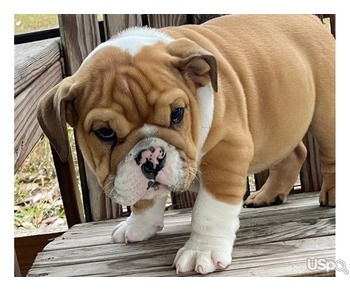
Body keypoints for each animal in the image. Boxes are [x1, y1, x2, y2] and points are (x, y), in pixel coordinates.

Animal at [37, 14, 334, 274]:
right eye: (105, 132)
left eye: (177, 113)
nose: (152, 156)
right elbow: (143, 198)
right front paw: (139, 226)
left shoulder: (226, 152)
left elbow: (210, 209)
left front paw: (203, 250)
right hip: (279, 126)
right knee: (294, 152)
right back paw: (269, 194)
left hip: (326, 114)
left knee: (329, 153)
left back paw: (330, 195)